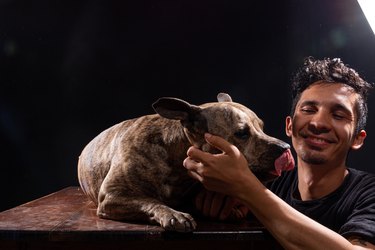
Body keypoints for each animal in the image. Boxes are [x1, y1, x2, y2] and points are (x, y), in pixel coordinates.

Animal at [78, 93, 296, 232]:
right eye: (242, 133)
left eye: (262, 127)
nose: (285, 147)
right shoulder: (113, 194)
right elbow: (150, 200)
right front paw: (174, 215)